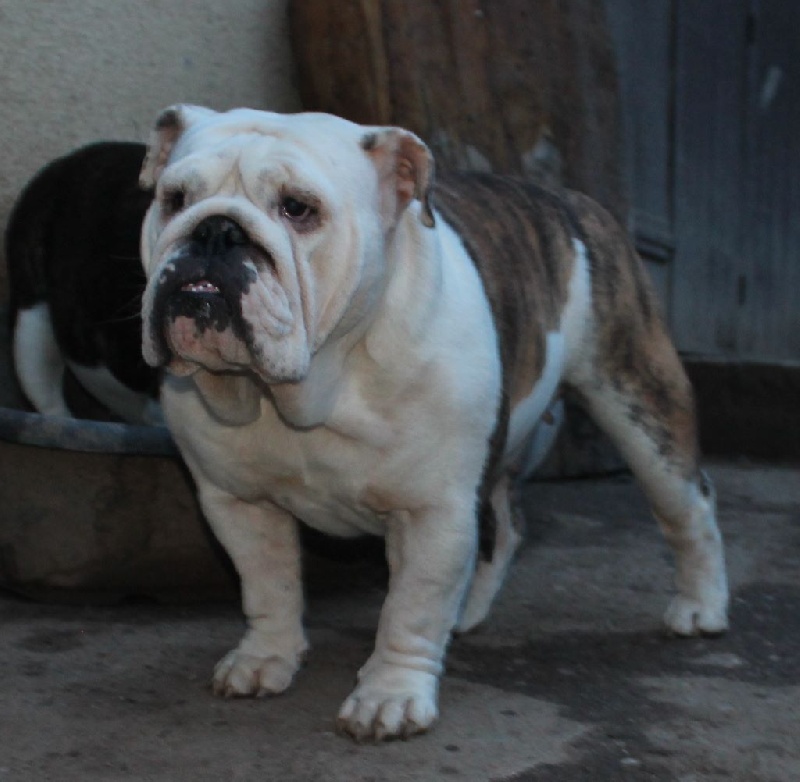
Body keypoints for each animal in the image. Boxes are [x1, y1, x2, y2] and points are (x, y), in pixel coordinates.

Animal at [139, 104, 732, 740]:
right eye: (174, 198)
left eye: (298, 208)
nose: (215, 230)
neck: (304, 388)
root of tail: (573, 201)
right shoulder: (237, 502)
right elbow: (267, 584)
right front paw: (265, 656)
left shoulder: (435, 510)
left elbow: (410, 608)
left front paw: (390, 695)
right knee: (506, 524)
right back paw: (467, 610)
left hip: (638, 402)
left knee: (689, 506)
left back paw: (701, 606)